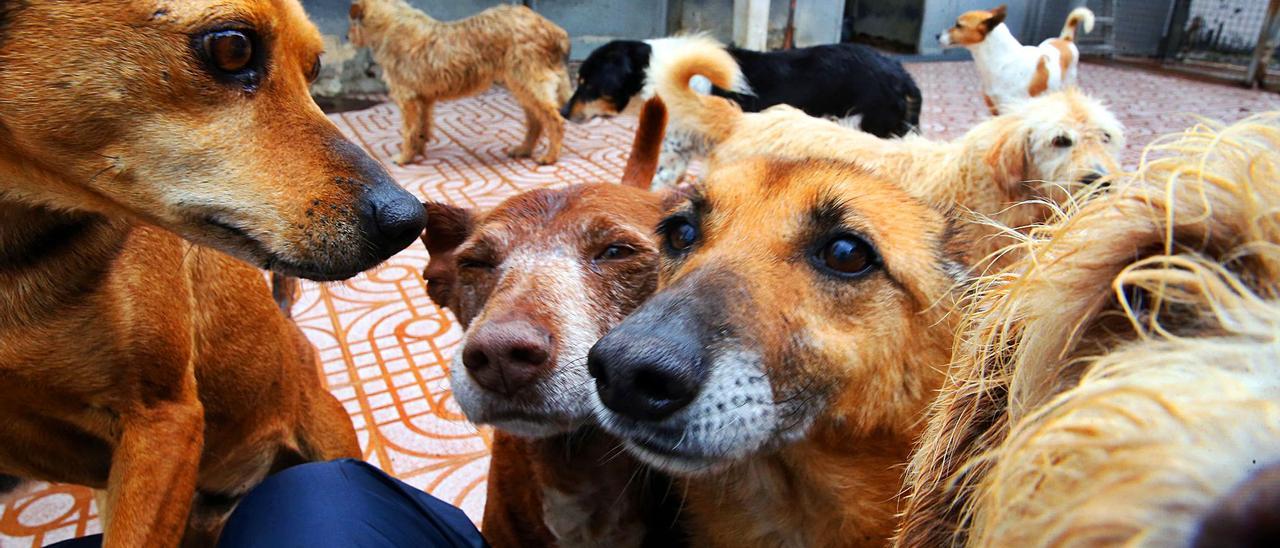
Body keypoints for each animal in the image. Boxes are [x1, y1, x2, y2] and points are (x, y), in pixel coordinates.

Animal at [350, 0, 570, 165]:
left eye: (352, 21)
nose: (347, 36)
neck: (390, 23)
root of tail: (552, 28)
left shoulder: (408, 99)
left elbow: (409, 132)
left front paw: (405, 157)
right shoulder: (424, 99)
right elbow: (422, 128)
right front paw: (418, 151)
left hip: (529, 83)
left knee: (554, 121)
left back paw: (550, 156)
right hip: (522, 86)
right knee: (536, 121)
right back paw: (524, 149)